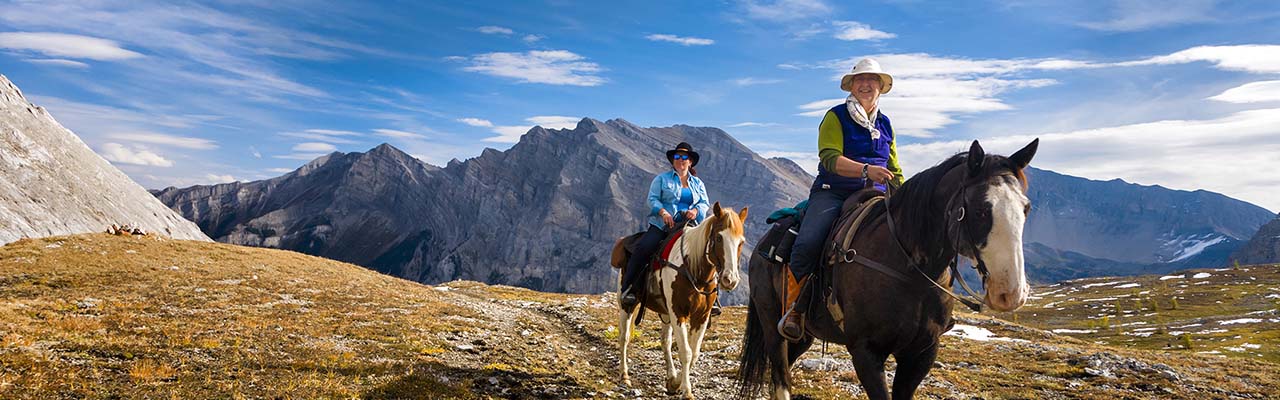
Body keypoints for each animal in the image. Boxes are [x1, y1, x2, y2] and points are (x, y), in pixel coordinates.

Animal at [614, 201, 747, 397]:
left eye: (741, 242)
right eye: (719, 237)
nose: (730, 280)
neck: (693, 268)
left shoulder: (701, 316)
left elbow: (695, 352)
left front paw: (675, 383)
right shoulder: (678, 312)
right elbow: (686, 352)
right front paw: (687, 391)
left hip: (665, 312)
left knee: (665, 342)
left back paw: (670, 375)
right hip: (627, 304)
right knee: (624, 337)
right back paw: (624, 376)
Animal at [742, 139, 1039, 397]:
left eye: (1026, 208)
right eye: (980, 209)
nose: (1011, 292)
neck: (910, 272)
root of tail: (762, 244)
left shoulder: (922, 353)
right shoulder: (866, 352)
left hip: (805, 335)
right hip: (772, 324)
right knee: (781, 376)